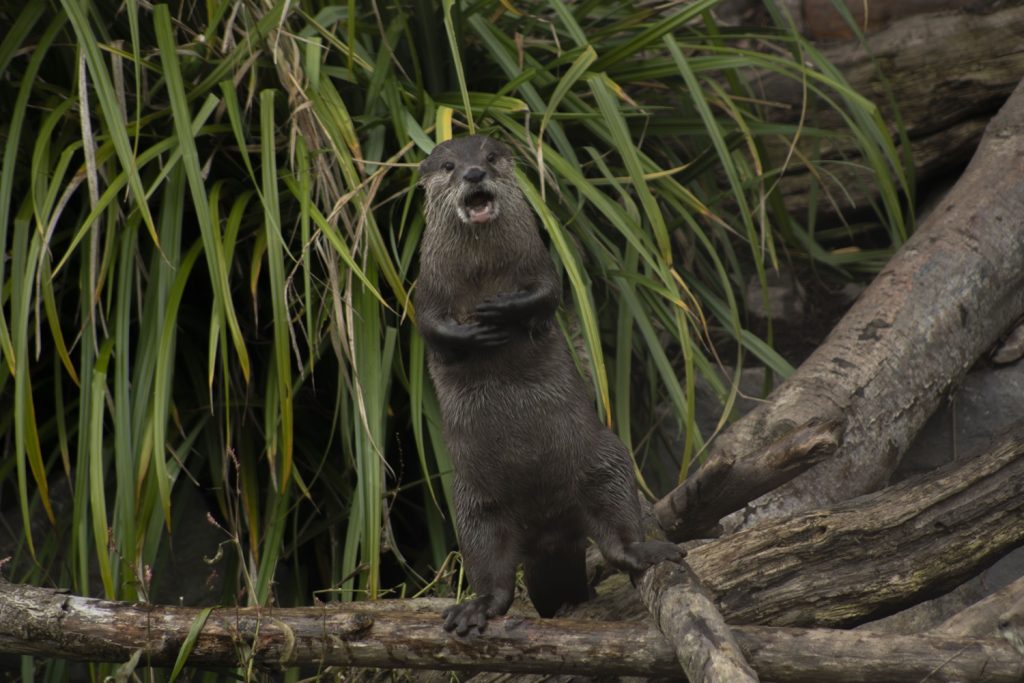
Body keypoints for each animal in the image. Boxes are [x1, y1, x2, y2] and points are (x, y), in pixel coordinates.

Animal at [416, 135, 682, 636]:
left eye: (490, 157)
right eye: (448, 165)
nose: (474, 173)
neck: (481, 273)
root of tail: (548, 535)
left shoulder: (539, 261)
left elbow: (549, 292)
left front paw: (503, 311)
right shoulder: (425, 287)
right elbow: (429, 327)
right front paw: (474, 333)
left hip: (605, 462)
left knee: (615, 539)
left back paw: (647, 550)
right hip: (474, 503)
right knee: (496, 576)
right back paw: (474, 608)